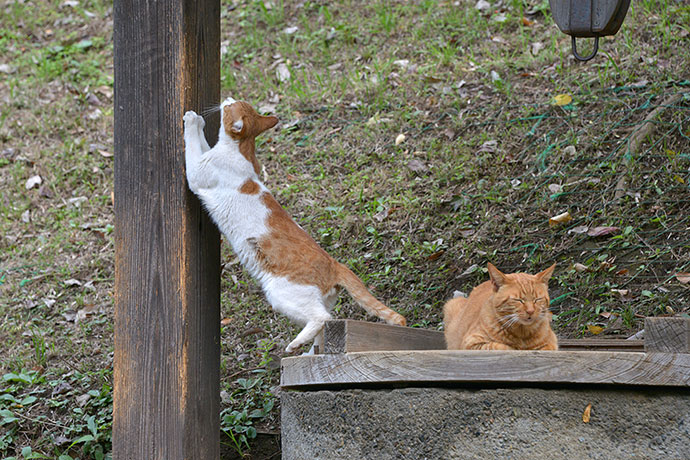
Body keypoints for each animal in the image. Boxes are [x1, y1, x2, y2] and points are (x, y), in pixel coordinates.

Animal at [185, 95, 406, 350]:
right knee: (325, 325)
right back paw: (309, 352)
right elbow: (202, 145)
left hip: (281, 293)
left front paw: (192, 120)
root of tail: (335, 264)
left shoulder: (197, 174)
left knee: (322, 318)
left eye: (230, 105)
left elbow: (193, 147)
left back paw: (295, 345)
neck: (242, 149)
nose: (228, 98)